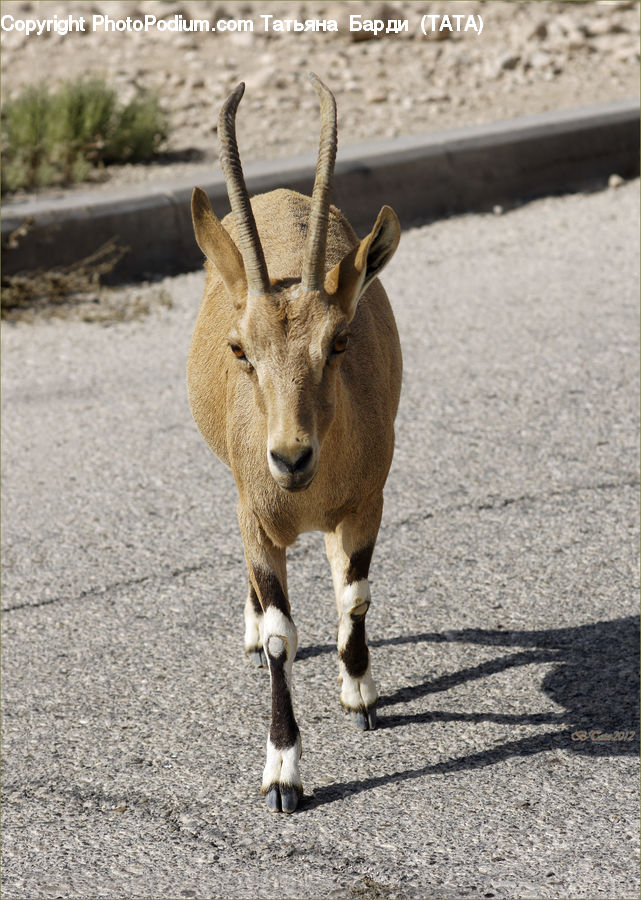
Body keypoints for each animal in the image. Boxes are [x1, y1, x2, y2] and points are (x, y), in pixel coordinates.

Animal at [187, 73, 402, 813]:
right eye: (239, 350)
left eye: (338, 341)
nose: (290, 458)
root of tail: (280, 196)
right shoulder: (256, 516)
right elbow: (285, 636)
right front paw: (284, 773)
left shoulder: (365, 503)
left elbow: (355, 594)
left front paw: (359, 691)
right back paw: (253, 631)